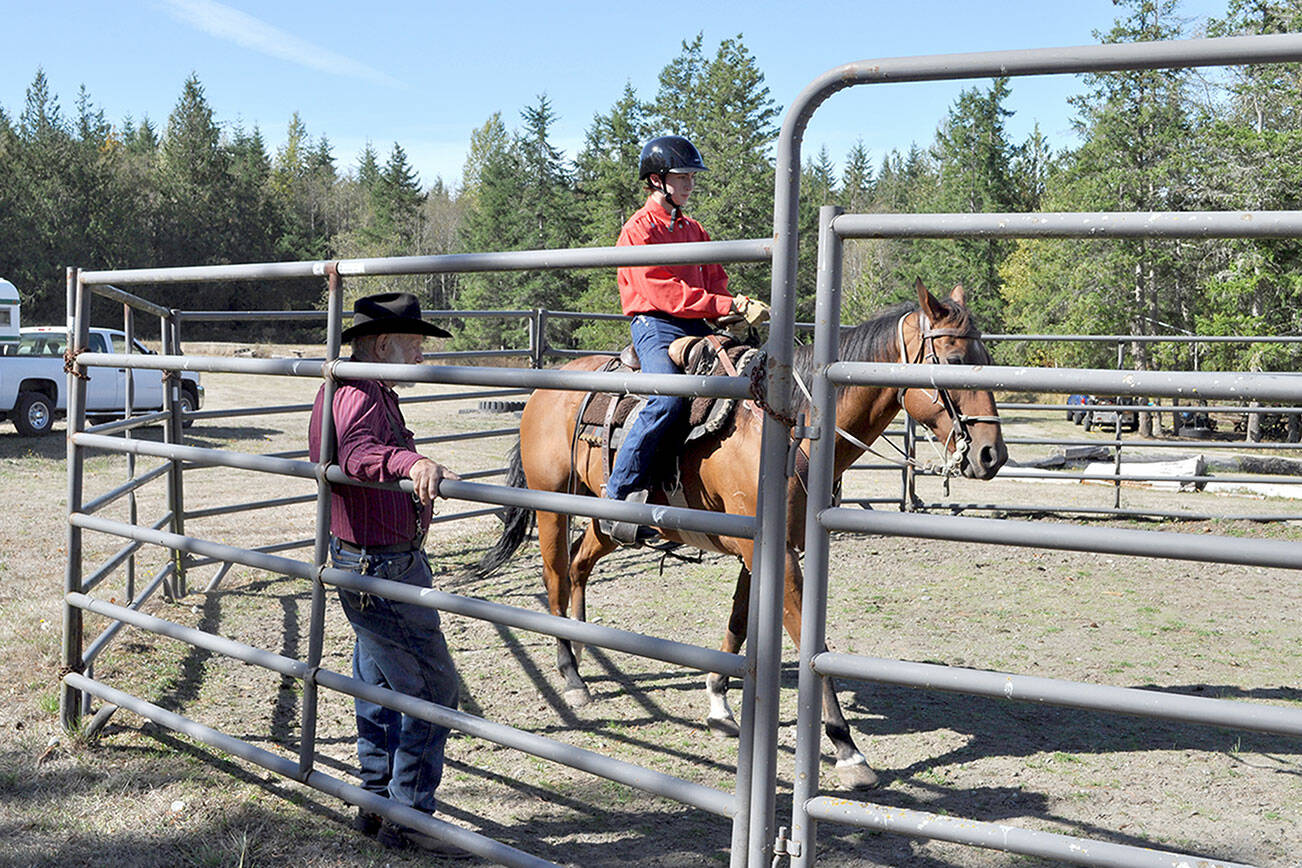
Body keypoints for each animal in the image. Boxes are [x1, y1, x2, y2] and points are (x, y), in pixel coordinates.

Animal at [475, 279, 1007, 788]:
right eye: (955, 361)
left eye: (987, 360)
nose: (991, 455)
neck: (791, 425)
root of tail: (545, 390)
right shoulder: (774, 555)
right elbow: (808, 642)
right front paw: (847, 750)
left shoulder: (768, 549)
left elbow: (738, 623)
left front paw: (718, 705)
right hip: (550, 505)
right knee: (555, 577)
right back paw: (570, 675)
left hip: (607, 520)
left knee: (579, 564)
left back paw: (581, 646)